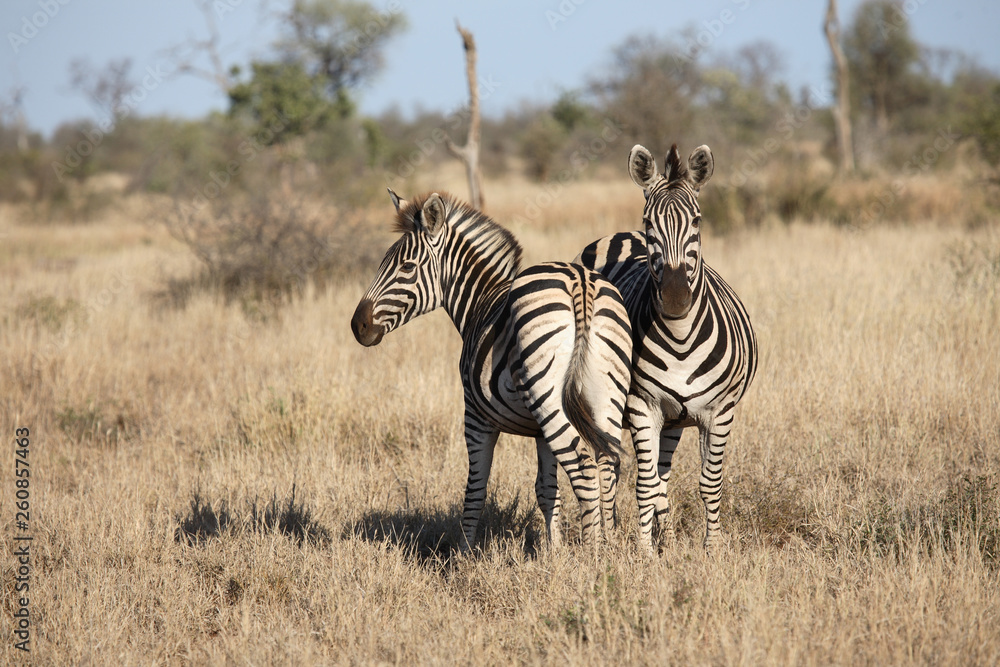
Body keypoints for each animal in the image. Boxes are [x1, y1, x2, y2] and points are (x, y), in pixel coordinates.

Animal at [351, 190, 632, 551]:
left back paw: (592, 554)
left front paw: (464, 554)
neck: (479, 300)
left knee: (583, 467)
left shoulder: (475, 415)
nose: (357, 325)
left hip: (548, 395)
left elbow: (475, 489)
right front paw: (554, 552)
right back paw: (609, 547)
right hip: (603, 393)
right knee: (608, 463)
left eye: (407, 267)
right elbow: (547, 490)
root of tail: (579, 281)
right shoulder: (539, 430)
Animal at [576, 144, 758, 553]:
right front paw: (645, 554)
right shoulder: (642, 406)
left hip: (674, 420)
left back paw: (669, 539)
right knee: (613, 468)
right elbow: (645, 486)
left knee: (663, 475)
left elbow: (708, 483)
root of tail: (619, 235)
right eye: (649, 222)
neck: (680, 337)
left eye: (698, 221)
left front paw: (711, 549)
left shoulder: (720, 412)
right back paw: (611, 538)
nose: (675, 299)